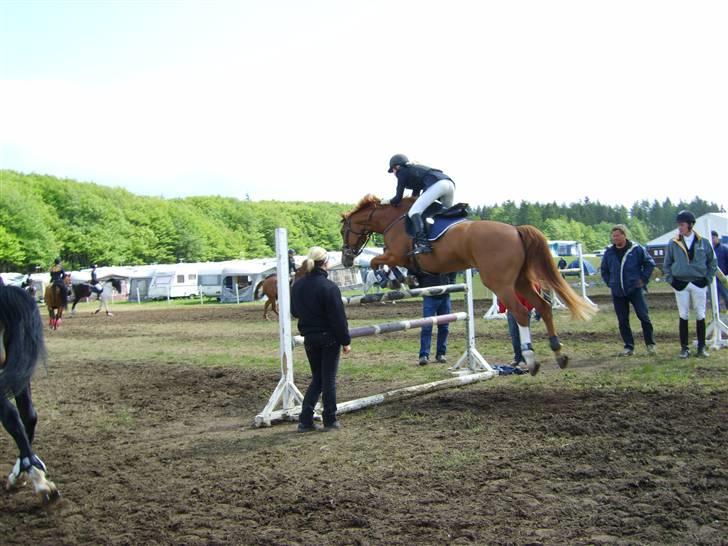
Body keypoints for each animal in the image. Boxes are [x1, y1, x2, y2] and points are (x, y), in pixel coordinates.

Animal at [338, 194, 596, 374]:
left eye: (343, 230)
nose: (346, 259)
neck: (393, 220)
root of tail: (515, 230)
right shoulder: (401, 258)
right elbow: (389, 264)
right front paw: (406, 278)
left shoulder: (396, 255)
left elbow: (376, 261)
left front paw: (392, 280)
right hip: (520, 280)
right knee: (543, 306)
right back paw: (558, 353)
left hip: (499, 282)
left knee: (521, 312)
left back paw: (531, 360)